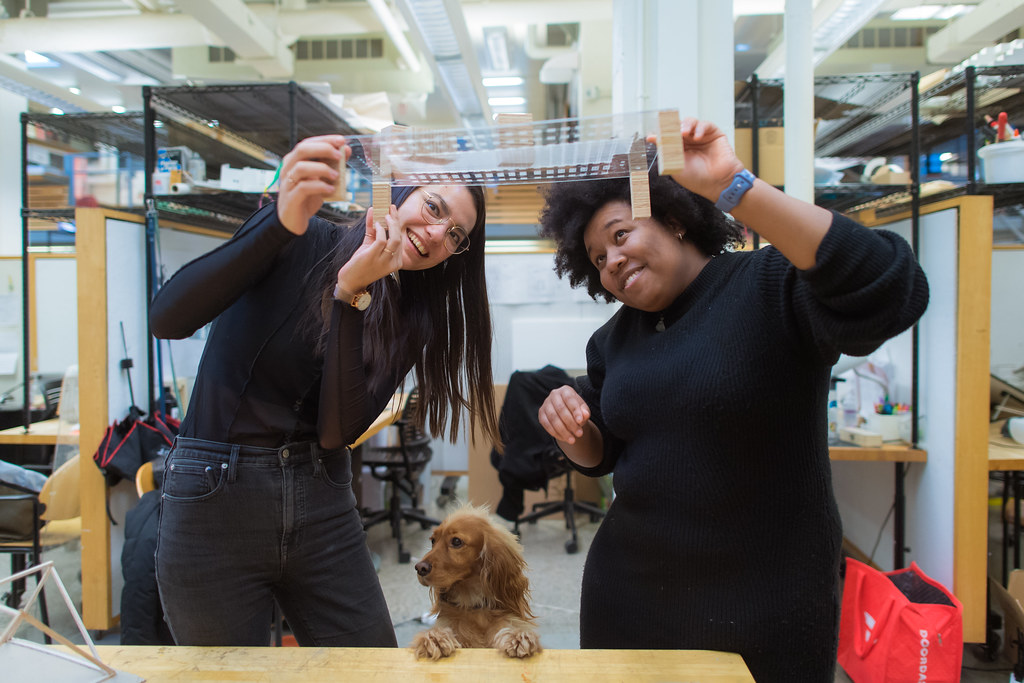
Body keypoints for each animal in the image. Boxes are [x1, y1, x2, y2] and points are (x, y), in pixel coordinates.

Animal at [411, 505, 544, 659]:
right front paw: (434, 638)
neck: (472, 605)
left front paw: (518, 637)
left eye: (456, 541)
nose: (419, 568)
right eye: (433, 541)